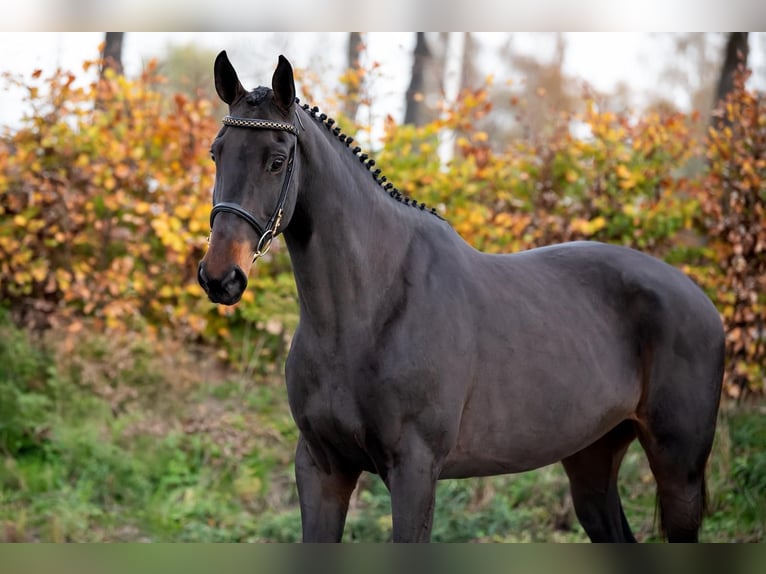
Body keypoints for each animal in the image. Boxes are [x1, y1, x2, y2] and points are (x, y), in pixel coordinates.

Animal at [197, 52, 724, 543]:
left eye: (277, 160)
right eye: (216, 153)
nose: (220, 277)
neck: (367, 311)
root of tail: (701, 300)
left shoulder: (414, 471)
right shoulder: (322, 469)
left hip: (678, 470)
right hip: (592, 460)